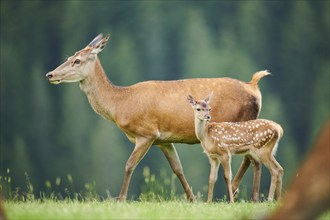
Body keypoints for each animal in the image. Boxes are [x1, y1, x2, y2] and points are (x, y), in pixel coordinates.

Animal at [46, 33, 270, 201]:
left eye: (77, 60)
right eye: (68, 57)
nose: (50, 74)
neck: (120, 105)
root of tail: (254, 87)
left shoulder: (146, 133)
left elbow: (129, 164)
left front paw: (120, 199)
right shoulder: (164, 140)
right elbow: (177, 169)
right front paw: (192, 199)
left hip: (240, 124)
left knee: (254, 160)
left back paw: (249, 194)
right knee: (251, 159)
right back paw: (238, 190)